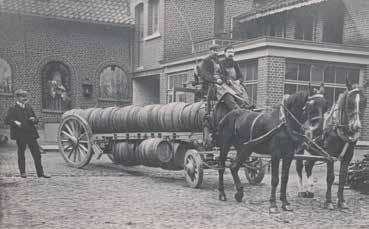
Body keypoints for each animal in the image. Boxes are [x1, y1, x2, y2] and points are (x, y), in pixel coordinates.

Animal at [294, 80, 366, 209]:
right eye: (349, 102)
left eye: (364, 101)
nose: (356, 126)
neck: (338, 128)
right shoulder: (329, 156)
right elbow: (330, 177)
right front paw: (328, 201)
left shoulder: (348, 156)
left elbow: (342, 177)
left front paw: (341, 201)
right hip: (300, 148)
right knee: (299, 166)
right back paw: (301, 190)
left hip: (315, 150)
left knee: (308, 165)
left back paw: (309, 191)